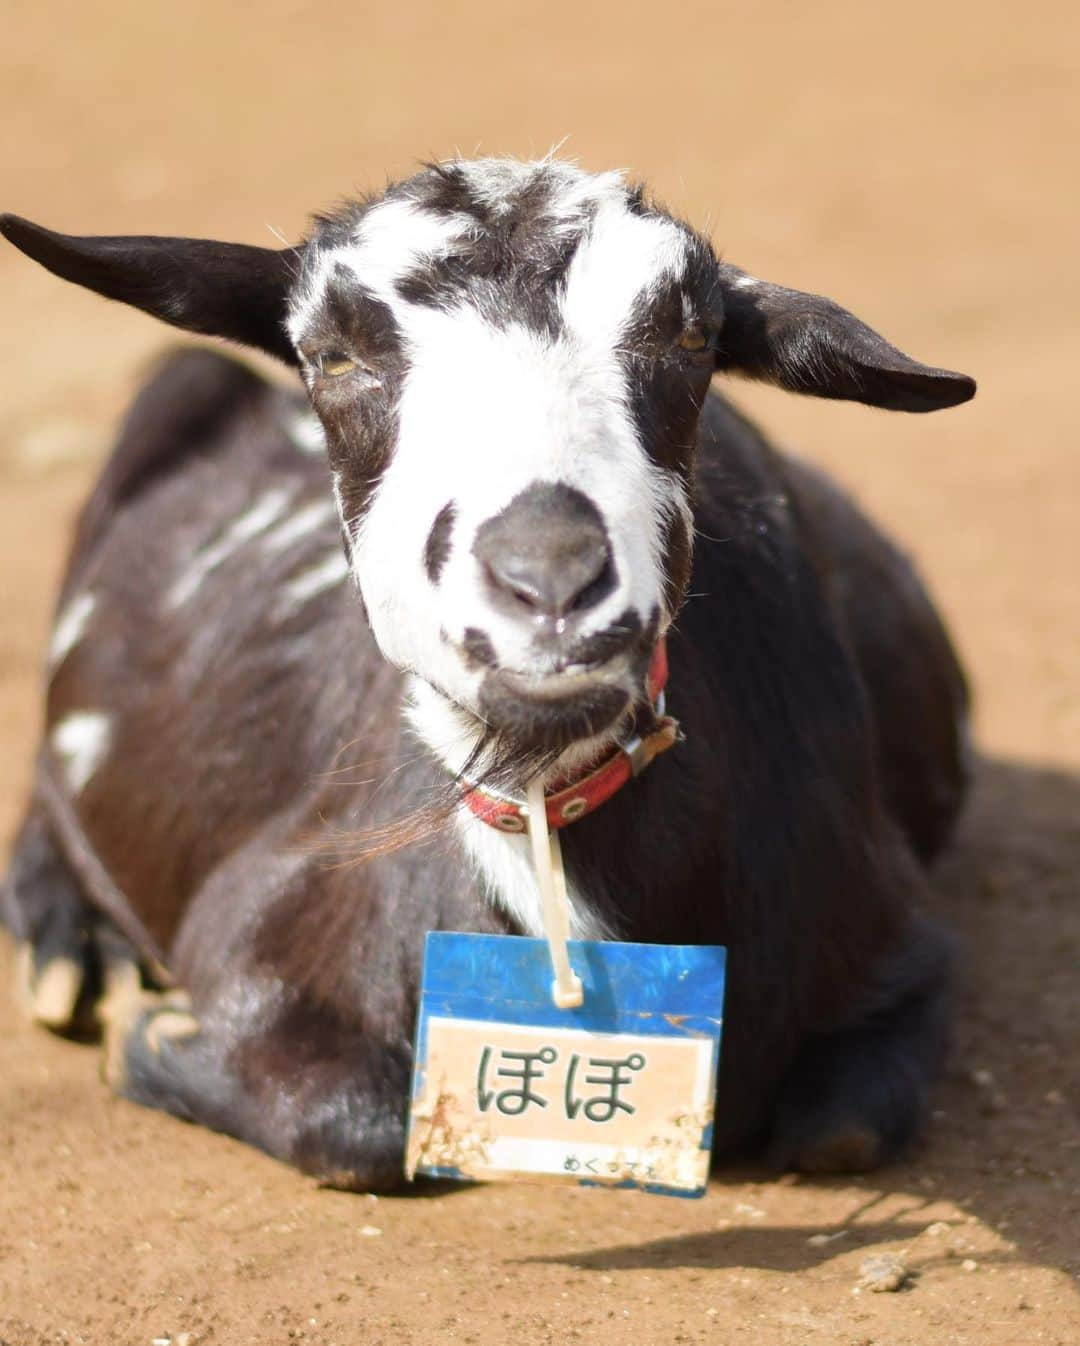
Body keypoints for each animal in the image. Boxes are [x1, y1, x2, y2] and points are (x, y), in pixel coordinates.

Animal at [2, 160, 974, 1189]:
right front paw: (144, 1030)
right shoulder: (253, 922)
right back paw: (72, 948)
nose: (550, 581)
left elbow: (843, 1129)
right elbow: (352, 1128)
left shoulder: (900, 945)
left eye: (693, 335)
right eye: (330, 354)